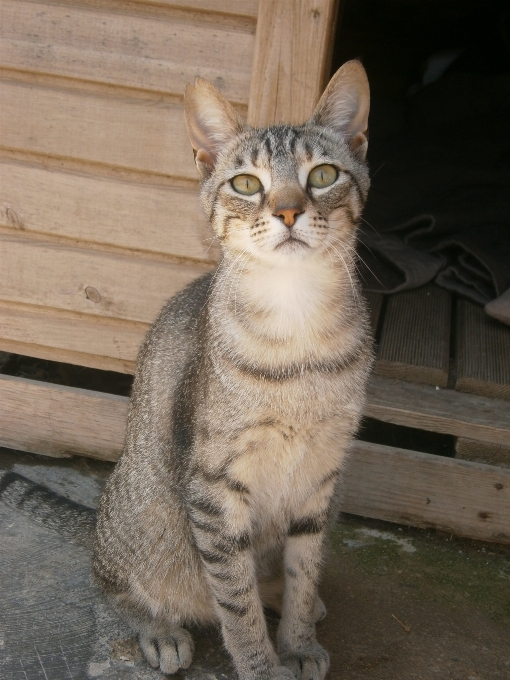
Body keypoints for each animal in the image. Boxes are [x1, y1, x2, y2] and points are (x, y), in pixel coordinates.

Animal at [92, 59, 370, 680]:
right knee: (113, 584)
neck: (298, 329)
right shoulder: (215, 488)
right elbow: (235, 599)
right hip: (142, 515)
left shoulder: (321, 475)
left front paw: (297, 641)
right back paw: (160, 629)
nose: (288, 211)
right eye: (247, 184)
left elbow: (302, 567)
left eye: (323, 175)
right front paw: (262, 665)